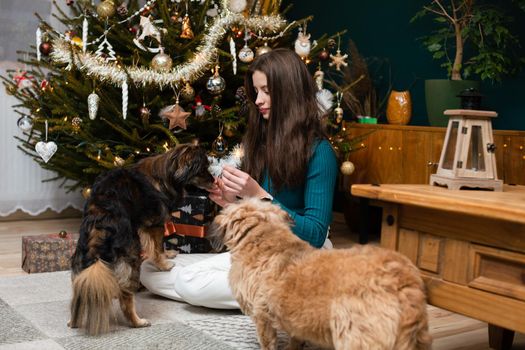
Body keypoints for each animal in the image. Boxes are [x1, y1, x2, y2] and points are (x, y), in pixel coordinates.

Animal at [69, 144, 213, 334]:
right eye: (203, 168)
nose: (214, 181)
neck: (166, 173)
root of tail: (99, 224)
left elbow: (159, 246)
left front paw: (168, 254)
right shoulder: (156, 224)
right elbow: (158, 247)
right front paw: (164, 265)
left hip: (80, 262)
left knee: (78, 293)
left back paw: (73, 322)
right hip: (130, 257)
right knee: (125, 297)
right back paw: (137, 322)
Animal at [207, 197, 432, 350]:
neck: (264, 237)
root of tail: (401, 281)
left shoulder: (262, 317)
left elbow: (267, 342)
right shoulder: (294, 321)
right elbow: (296, 338)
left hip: (358, 337)